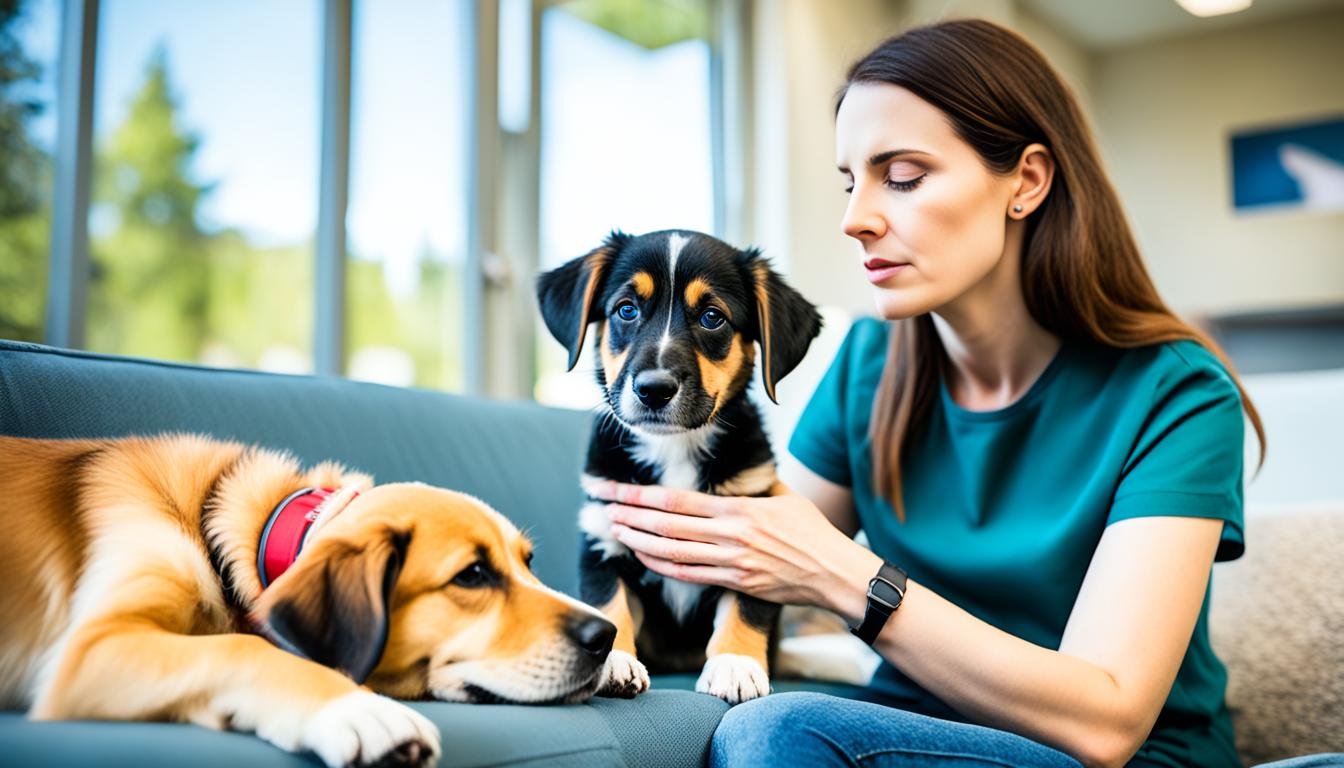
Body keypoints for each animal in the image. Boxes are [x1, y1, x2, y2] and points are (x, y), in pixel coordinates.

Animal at [0, 435, 618, 763]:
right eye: (472, 575)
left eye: (527, 563)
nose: (605, 635)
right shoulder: (92, 648)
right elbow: (242, 648)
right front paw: (356, 708)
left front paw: (620, 664)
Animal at [534, 227, 817, 704]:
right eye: (626, 310)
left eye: (712, 317)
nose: (654, 389)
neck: (674, 449)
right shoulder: (603, 535)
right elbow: (609, 603)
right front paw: (616, 663)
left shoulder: (752, 532)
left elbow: (745, 608)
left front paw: (735, 664)